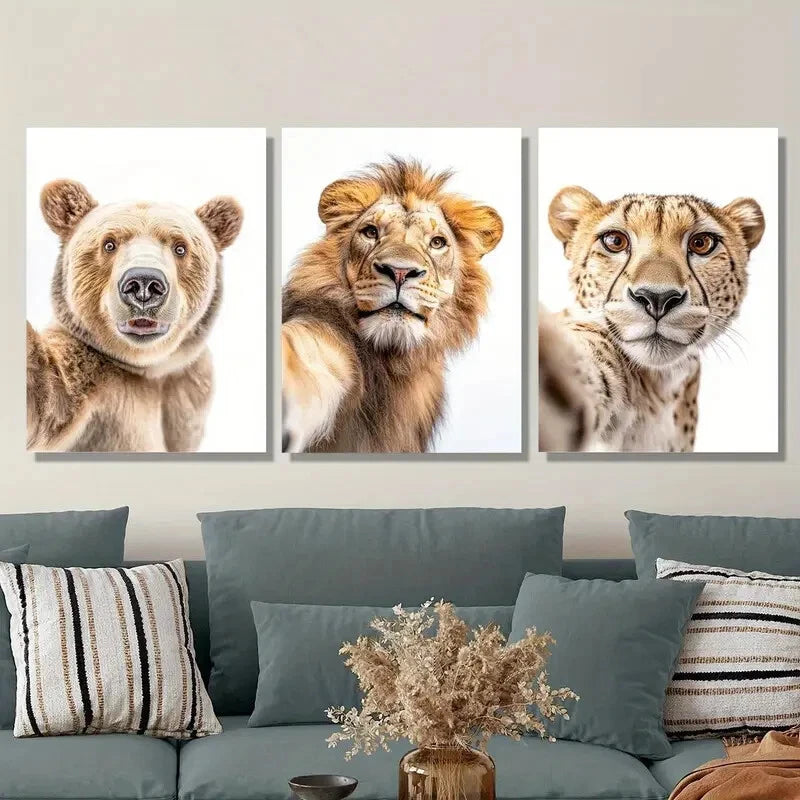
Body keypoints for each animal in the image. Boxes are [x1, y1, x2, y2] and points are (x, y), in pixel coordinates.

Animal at [27, 179, 243, 452]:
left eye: (180, 247)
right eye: (109, 244)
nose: (144, 284)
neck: (149, 368)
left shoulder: (191, 387)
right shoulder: (89, 377)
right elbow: (47, 397)